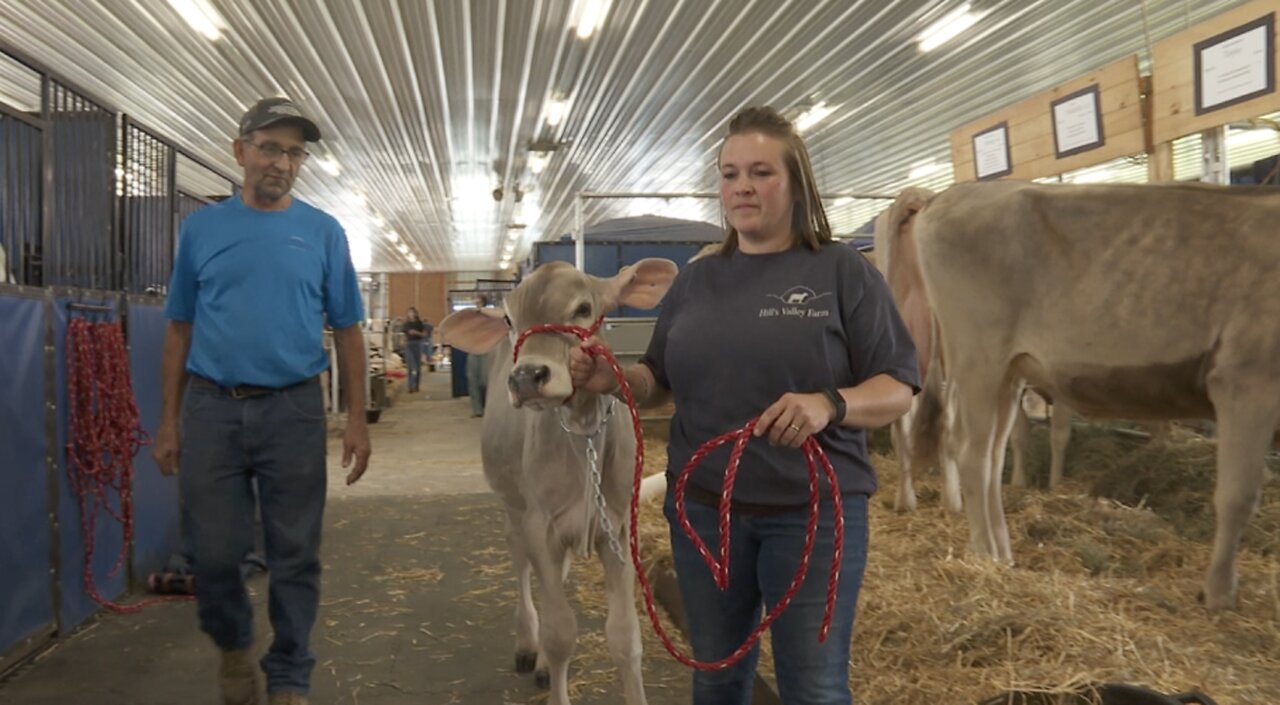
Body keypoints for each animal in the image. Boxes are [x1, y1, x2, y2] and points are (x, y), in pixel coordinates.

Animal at [880, 181, 1280, 611]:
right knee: (970, 452)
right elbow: (1238, 495)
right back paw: (985, 551)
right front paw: (1220, 593)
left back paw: (1003, 552)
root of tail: (946, 194)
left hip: (1008, 371)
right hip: (977, 360)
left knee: (992, 455)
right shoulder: (1246, 379)